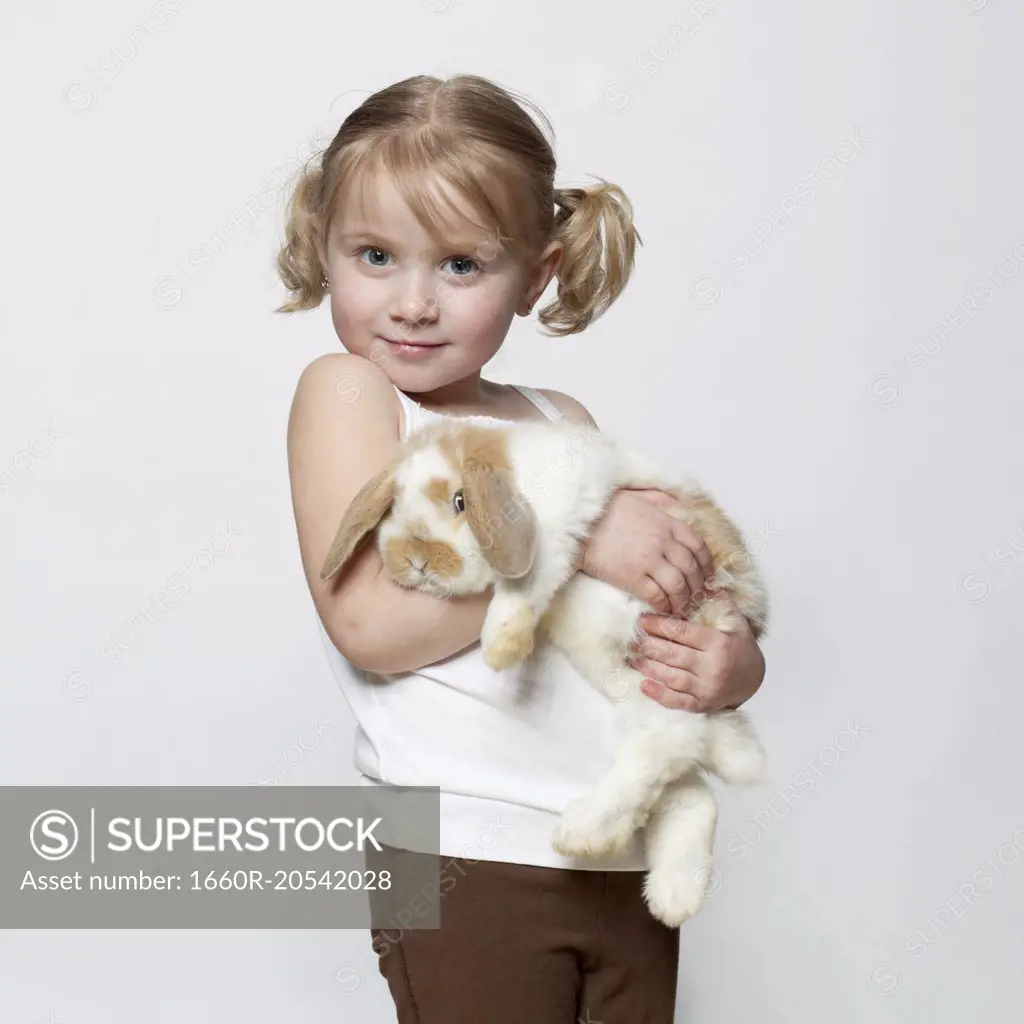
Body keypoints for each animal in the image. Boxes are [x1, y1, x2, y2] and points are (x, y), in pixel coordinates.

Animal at [321, 415, 770, 929]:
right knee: (687, 779)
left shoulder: (561, 507)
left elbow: (526, 580)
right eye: (394, 507)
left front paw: (502, 645)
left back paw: (583, 832)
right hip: (623, 670)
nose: (417, 561)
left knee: (665, 740)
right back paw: (673, 896)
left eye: (460, 501)